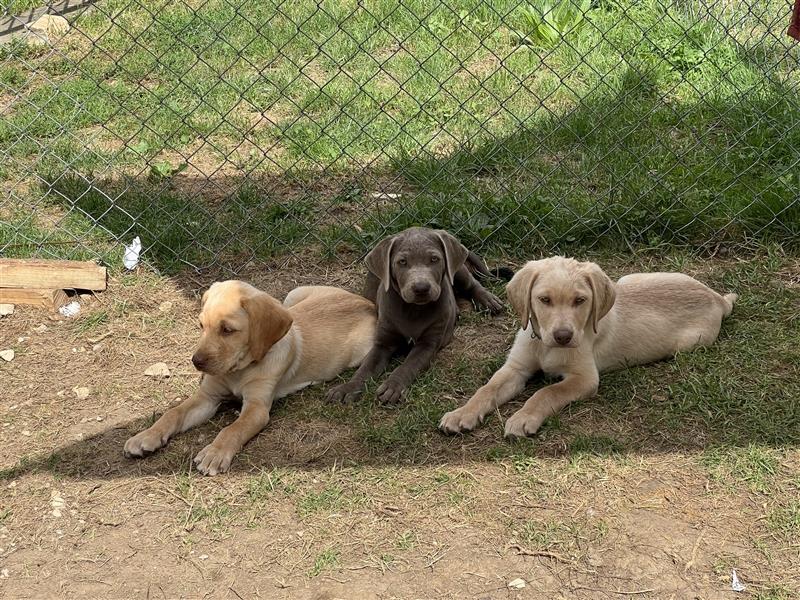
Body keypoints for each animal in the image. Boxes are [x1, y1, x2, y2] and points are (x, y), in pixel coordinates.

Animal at [123, 282, 376, 474]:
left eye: (227, 330)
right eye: (201, 325)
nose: (196, 362)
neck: (238, 371)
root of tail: (369, 304)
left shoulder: (257, 408)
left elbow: (233, 429)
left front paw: (215, 453)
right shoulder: (207, 396)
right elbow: (172, 413)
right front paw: (146, 435)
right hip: (294, 294)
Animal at [438, 256, 736, 436]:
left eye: (580, 301)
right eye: (544, 300)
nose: (563, 336)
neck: (545, 347)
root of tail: (716, 297)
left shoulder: (584, 378)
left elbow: (546, 392)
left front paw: (524, 418)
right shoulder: (516, 368)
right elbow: (486, 389)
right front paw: (461, 413)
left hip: (687, 343)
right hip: (628, 279)